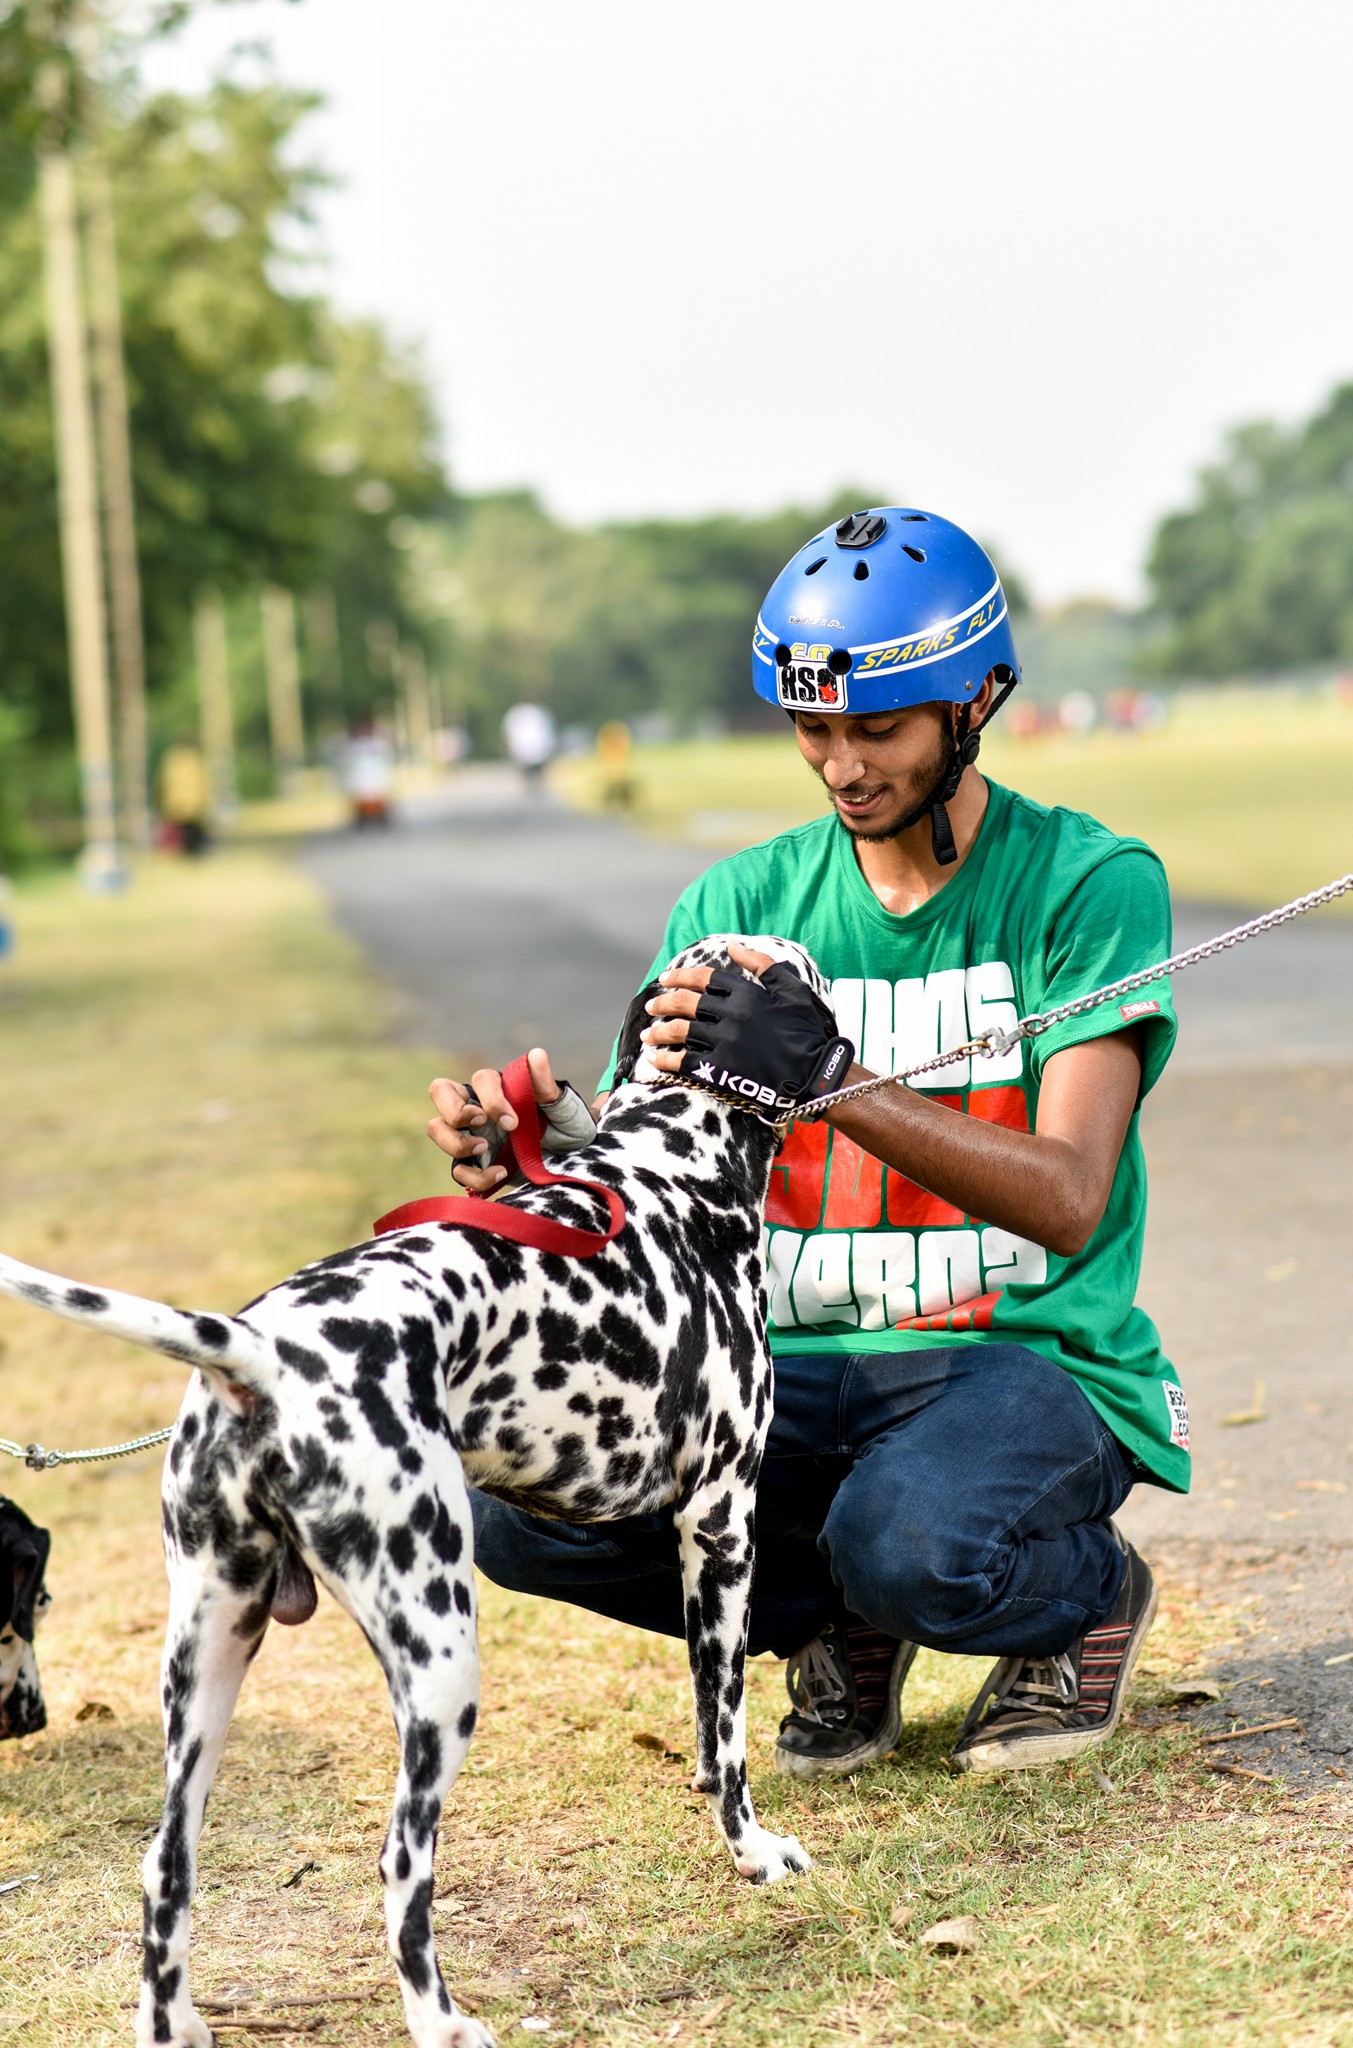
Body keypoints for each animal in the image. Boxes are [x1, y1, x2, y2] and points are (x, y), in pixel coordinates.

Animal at [0, 935, 824, 2048]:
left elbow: (704, 1720)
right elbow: (725, 1727)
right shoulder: (722, 1524)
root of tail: (258, 1349)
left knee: (165, 1863)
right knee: (400, 1864)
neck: (670, 1165)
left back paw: (176, 2023)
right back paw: (442, 2020)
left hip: (207, 1658)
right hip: (440, 1661)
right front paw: (751, 1850)